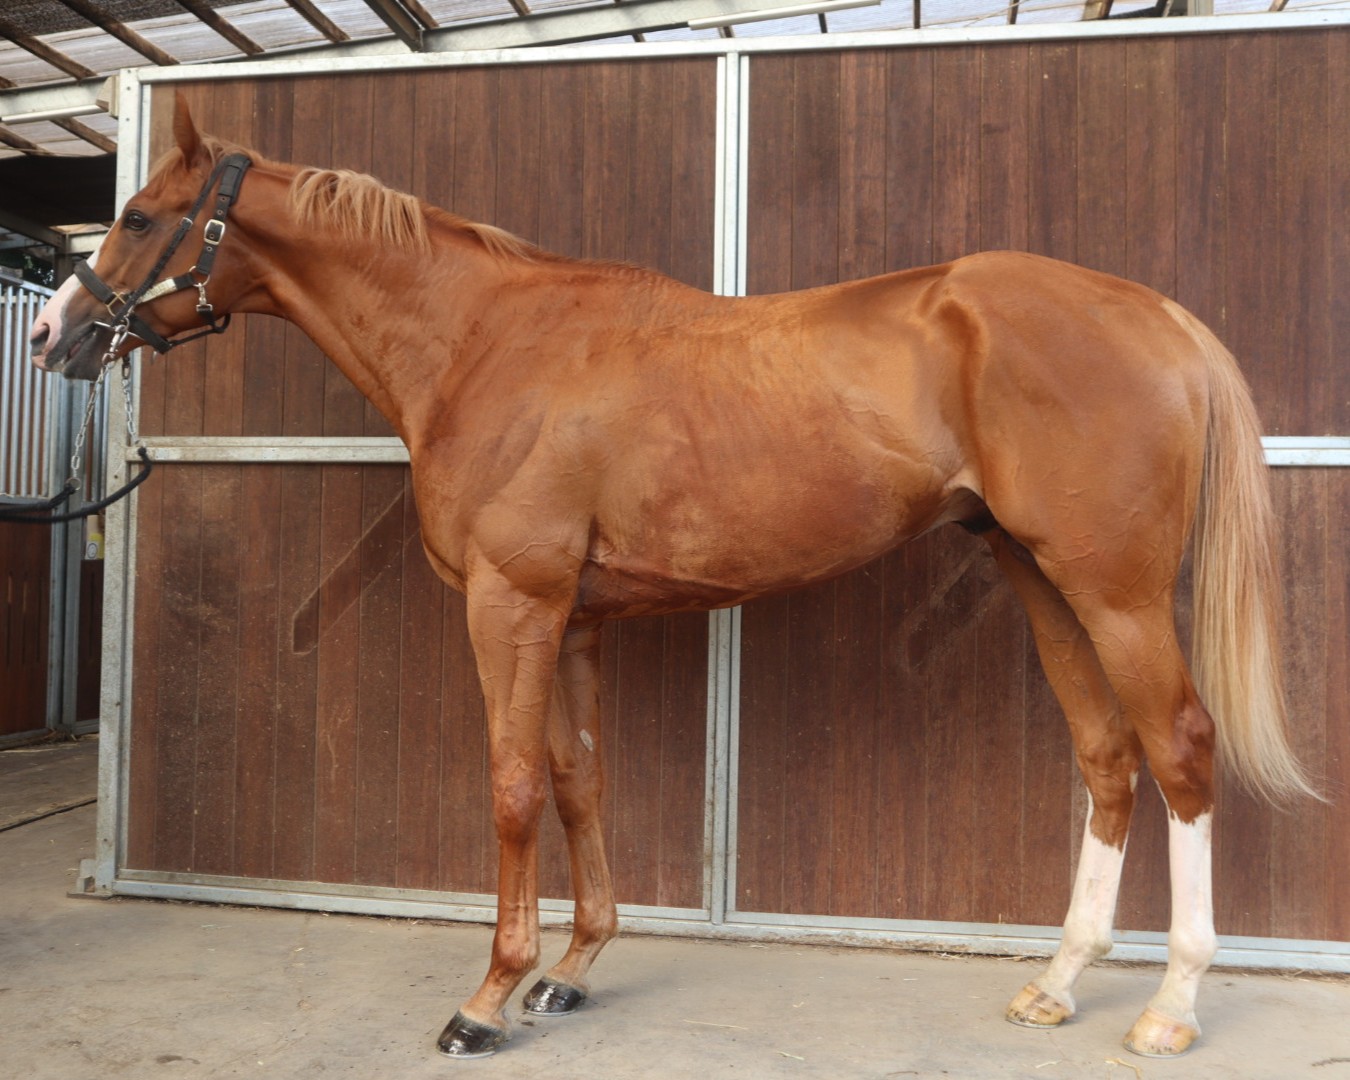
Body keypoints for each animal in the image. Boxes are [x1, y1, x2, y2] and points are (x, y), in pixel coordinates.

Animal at [31, 94, 1315, 1061]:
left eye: (138, 216)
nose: (52, 338)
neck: (484, 343)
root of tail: (1157, 316)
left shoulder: (512, 604)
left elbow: (512, 787)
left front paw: (488, 998)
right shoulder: (575, 620)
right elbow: (580, 780)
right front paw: (572, 970)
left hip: (1117, 595)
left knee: (1180, 750)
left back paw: (1170, 1005)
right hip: (1042, 579)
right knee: (1107, 757)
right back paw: (1058, 981)